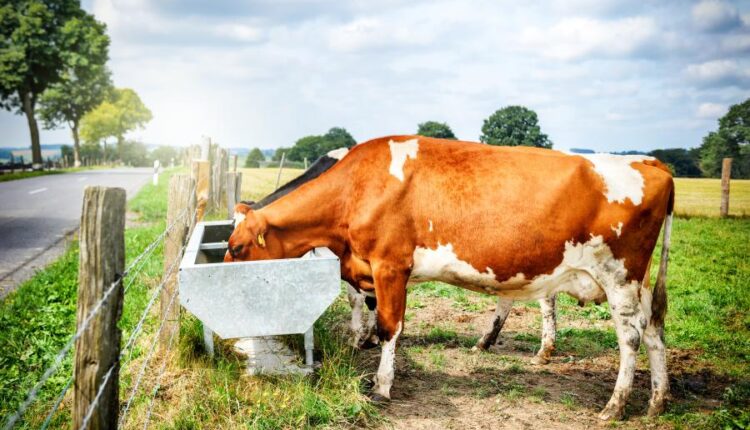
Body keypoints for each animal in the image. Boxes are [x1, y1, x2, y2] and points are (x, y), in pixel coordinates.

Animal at [225, 136, 674, 420]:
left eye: (238, 247)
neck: (356, 187)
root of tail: (648, 161)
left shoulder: (390, 266)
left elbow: (389, 326)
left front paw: (381, 384)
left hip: (618, 278)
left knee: (630, 339)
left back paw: (614, 406)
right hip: (635, 285)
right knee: (654, 332)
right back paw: (657, 401)